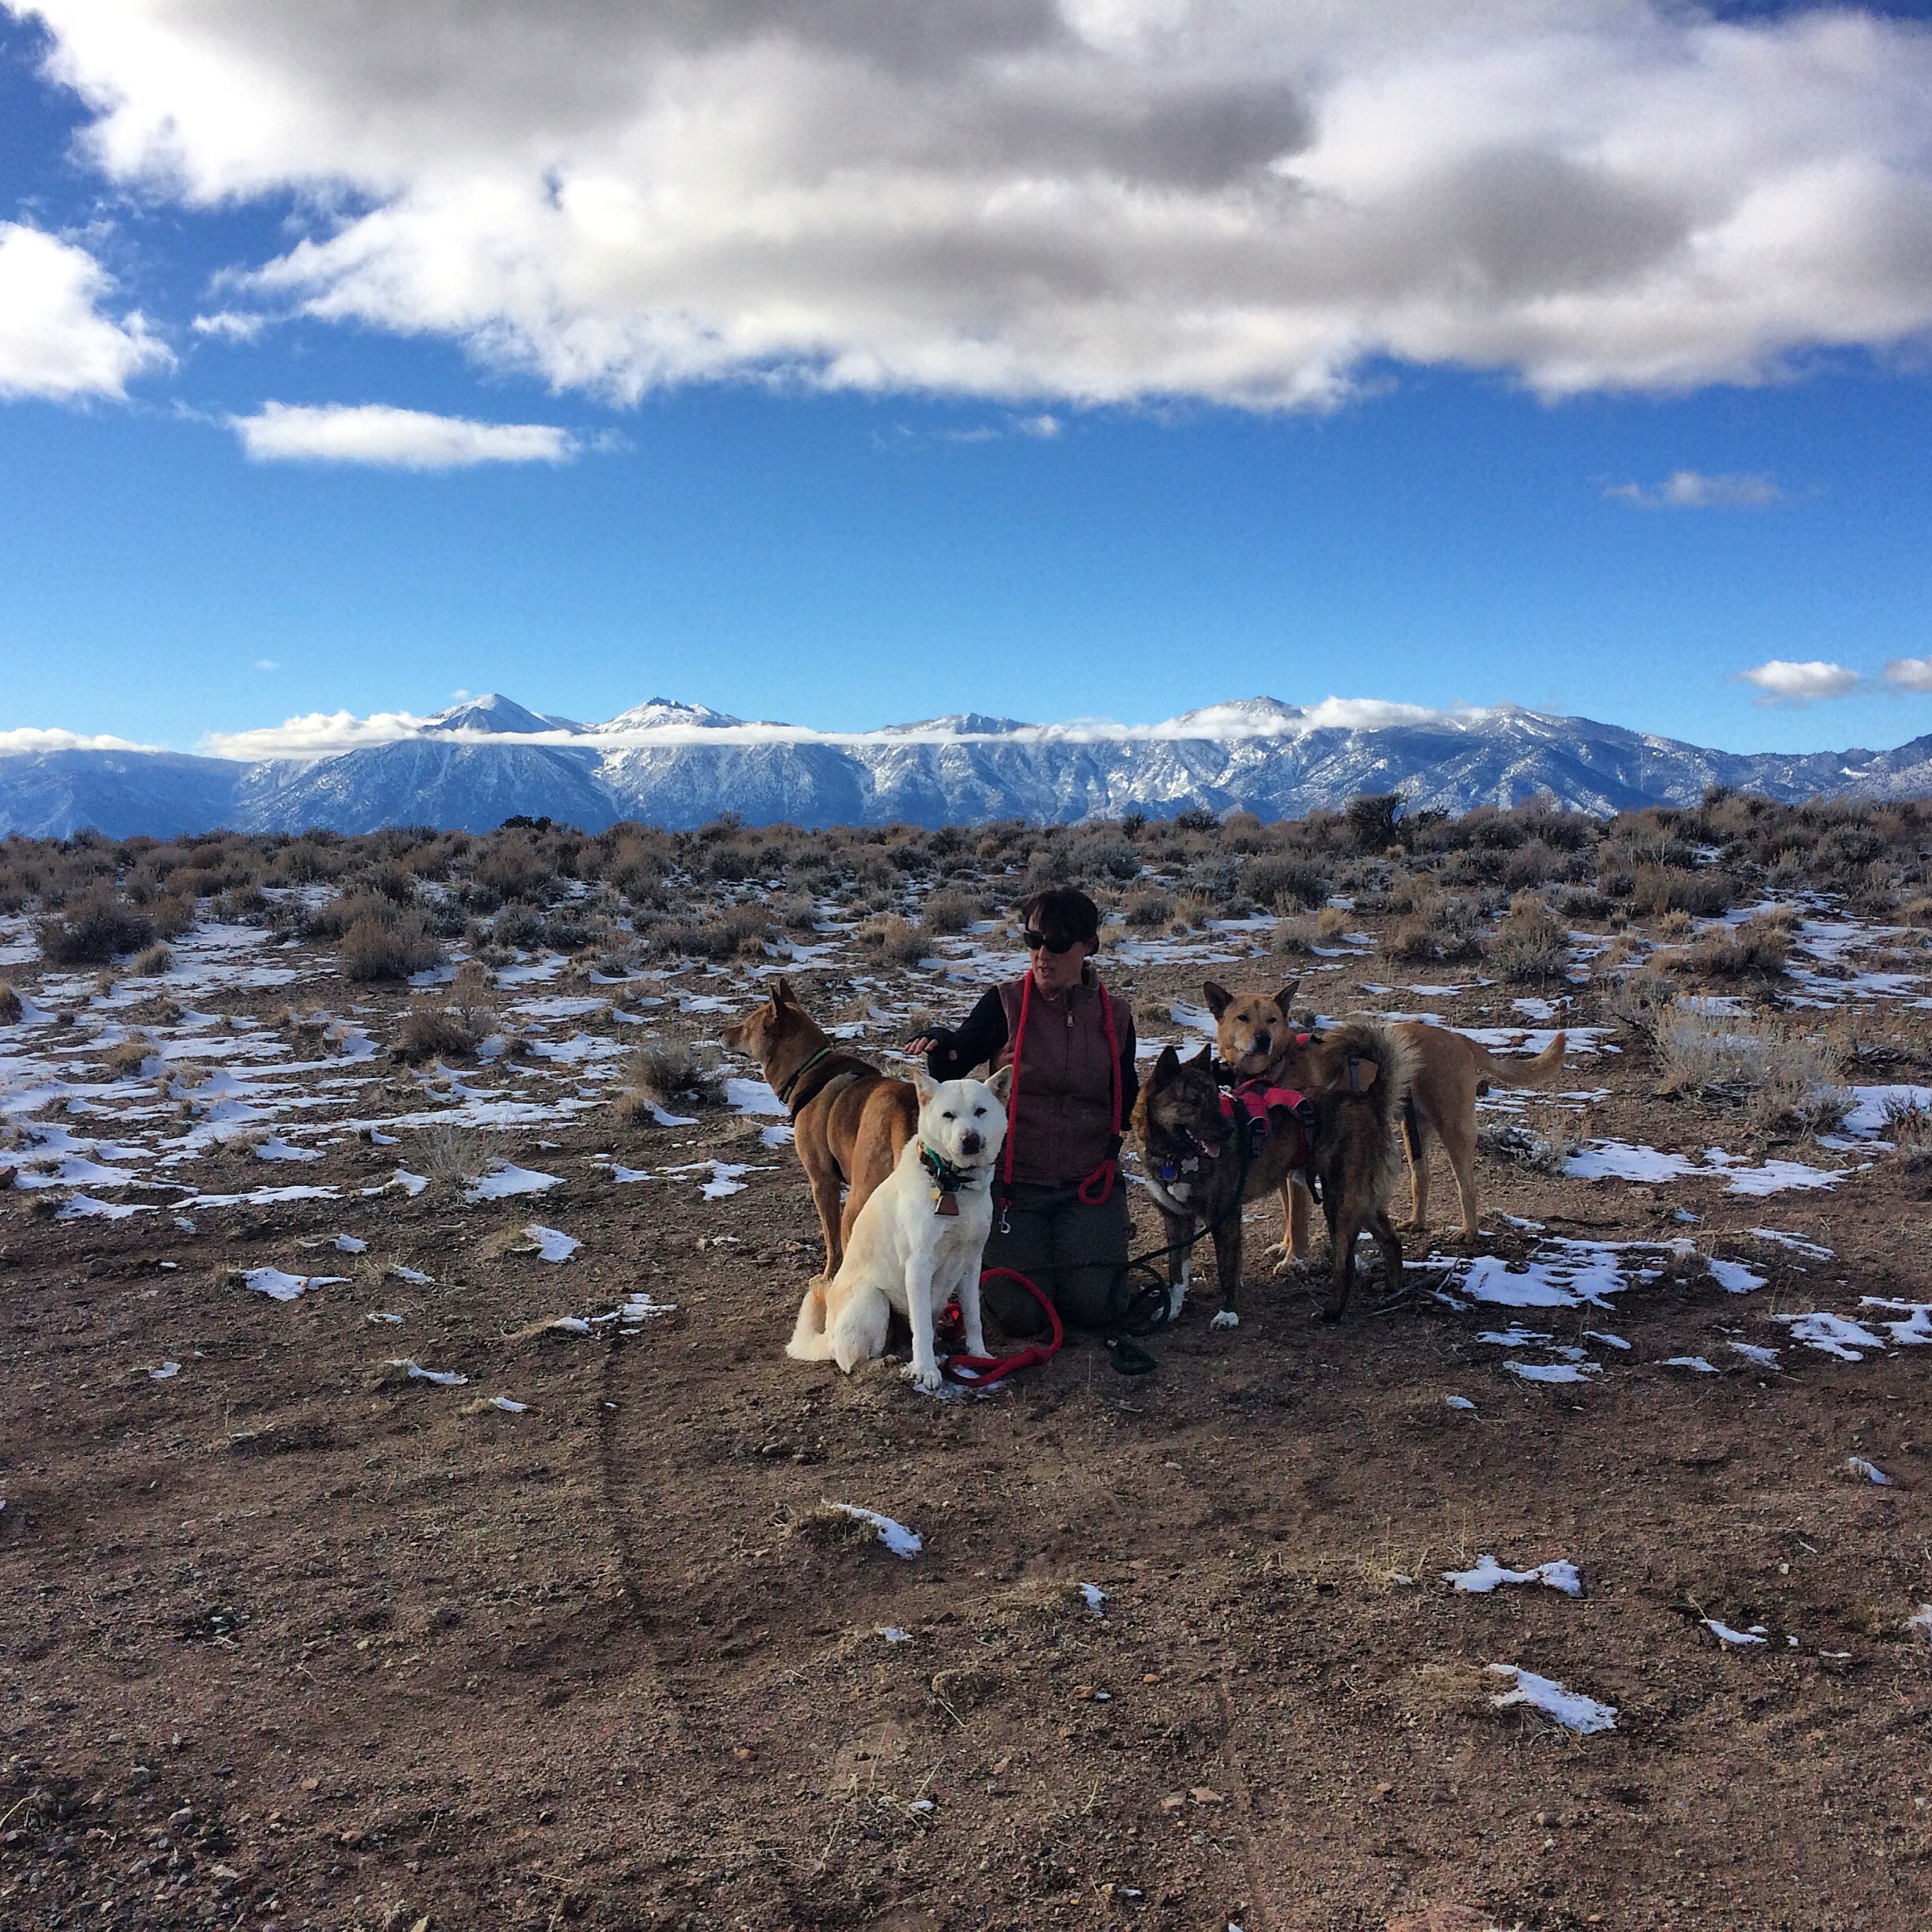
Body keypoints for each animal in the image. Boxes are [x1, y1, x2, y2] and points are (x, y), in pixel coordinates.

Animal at [723, 977, 919, 1279]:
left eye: (746, 1025)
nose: (721, 1032)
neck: (806, 1068)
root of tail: (904, 1109)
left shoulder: (822, 1182)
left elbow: (832, 1243)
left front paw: (827, 1275)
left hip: (859, 1204)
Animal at [786, 1068, 1010, 1389]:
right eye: (948, 1115)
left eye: (981, 1111)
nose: (970, 1140)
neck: (953, 1186)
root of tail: (827, 1337)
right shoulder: (918, 1266)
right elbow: (923, 1328)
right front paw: (927, 1371)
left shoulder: (971, 1262)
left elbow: (973, 1316)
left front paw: (978, 1355)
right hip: (873, 1299)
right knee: (852, 1361)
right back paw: (887, 1364)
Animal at [1133, 1019, 1412, 1322]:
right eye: (1194, 1102)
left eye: (1213, 1099)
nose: (1229, 1130)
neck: (1175, 1156)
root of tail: (1368, 1099)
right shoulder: (1177, 1221)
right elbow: (1176, 1275)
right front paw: (1171, 1310)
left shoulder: (1225, 1217)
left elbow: (1226, 1271)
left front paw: (1227, 1314)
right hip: (1361, 1200)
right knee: (1391, 1241)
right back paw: (1393, 1289)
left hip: (1340, 1201)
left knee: (1345, 1263)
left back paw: (1333, 1312)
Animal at [1204, 979, 1566, 1243]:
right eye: (1242, 1018)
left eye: (1272, 1019)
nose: (1263, 1038)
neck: (1275, 1067)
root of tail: (1459, 1039)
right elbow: (1288, 1216)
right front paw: (1284, 1249)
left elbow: (1298, 1220)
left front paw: (1294, 1261)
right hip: (1413, 1127)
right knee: (1422, 1175)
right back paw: (1417, 1222)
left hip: (1453, 1126)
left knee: (1467, 1184)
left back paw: (1469, 1232)